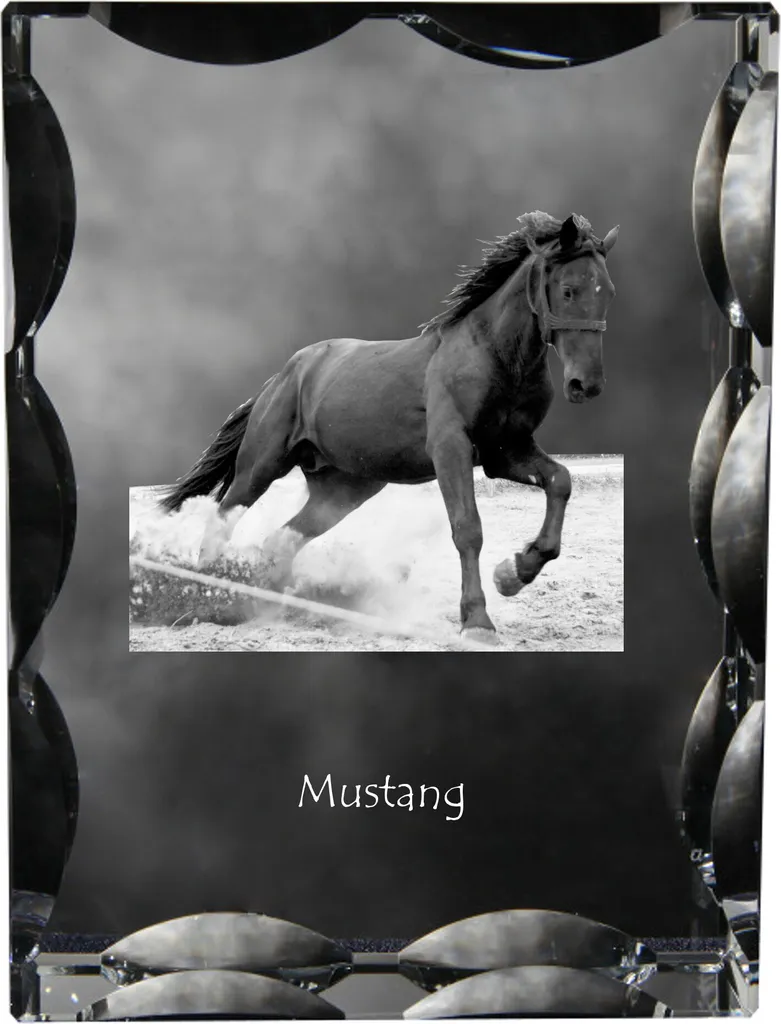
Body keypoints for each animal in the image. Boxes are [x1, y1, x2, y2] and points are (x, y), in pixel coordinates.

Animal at [160, 211, 618, 644]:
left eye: (608, 293)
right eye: (569, 289)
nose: (587, 385)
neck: (495, 357)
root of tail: (282, 377)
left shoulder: (506, 452)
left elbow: (560, 481)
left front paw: (514, 572)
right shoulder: (452, 449)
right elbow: (467, 528)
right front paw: (477, 622)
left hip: (343, 490)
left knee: (282, 538)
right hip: (261, 467)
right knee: (223, 519)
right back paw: (206, 600)